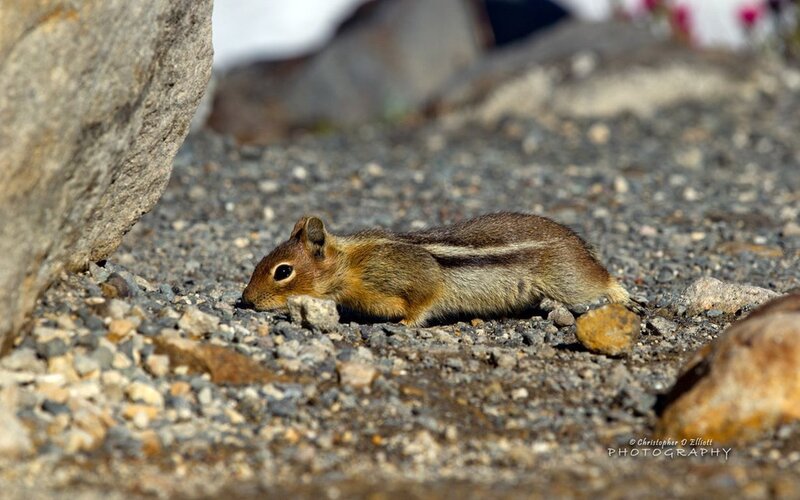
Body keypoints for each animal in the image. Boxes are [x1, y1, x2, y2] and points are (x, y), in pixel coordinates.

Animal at [239, 212, 630, 326]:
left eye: (282, 272)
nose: (246, 300)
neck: (350, 266)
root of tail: (579, 244)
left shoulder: (419, 277)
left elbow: (424, 300)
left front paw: (405, 324)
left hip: (570, 281)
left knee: (602, 280)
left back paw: (623, 296)